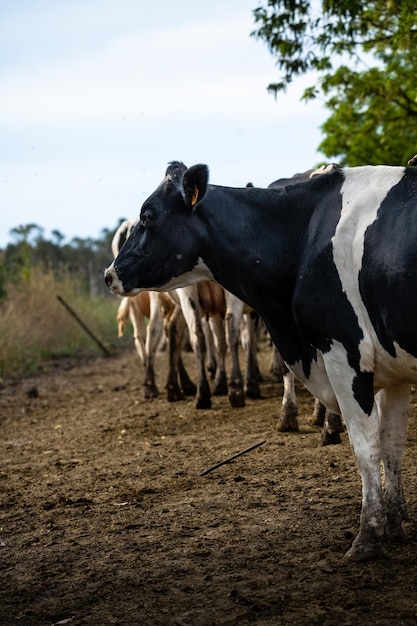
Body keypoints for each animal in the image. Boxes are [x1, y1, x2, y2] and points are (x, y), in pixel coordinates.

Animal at [105, 161, 417, 560]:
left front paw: (369, 536)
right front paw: (393, 523)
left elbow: (367, 447)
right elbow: (392, 445)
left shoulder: (344, 353)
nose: (109, 274)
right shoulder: (391, 369)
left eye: (149, 215)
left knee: (196, 334)